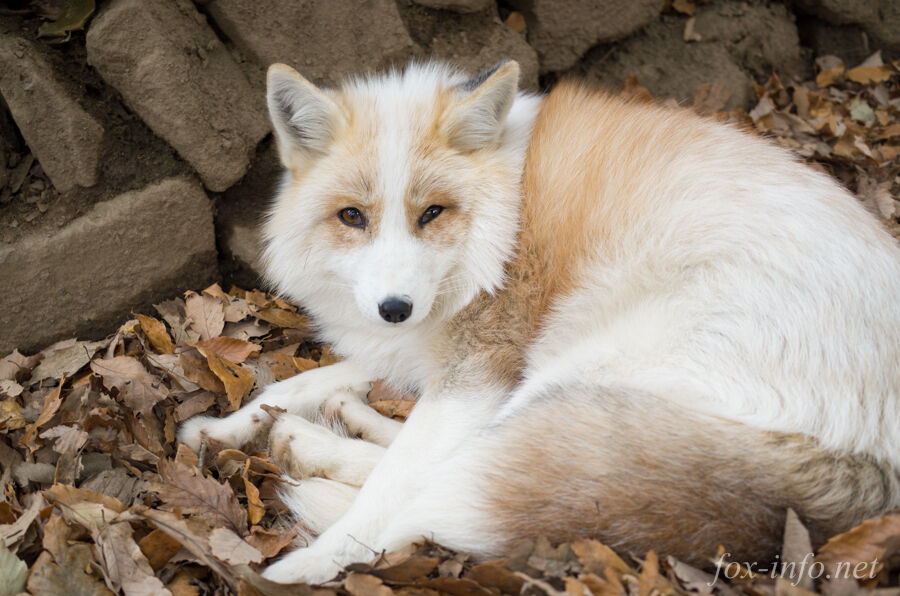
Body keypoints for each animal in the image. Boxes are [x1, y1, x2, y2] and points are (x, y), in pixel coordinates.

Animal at [179, 59, 900, 584]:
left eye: (432, 212)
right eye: (352, 216)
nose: (394, 308)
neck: (504, 224)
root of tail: (876, 477)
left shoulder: (483, 365)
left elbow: (390, 492)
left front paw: (306, 565)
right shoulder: (429, 351)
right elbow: (291, 386)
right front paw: (219, 429)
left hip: (572, 367)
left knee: (437, 489)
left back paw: (319, 460)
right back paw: (324, 432)